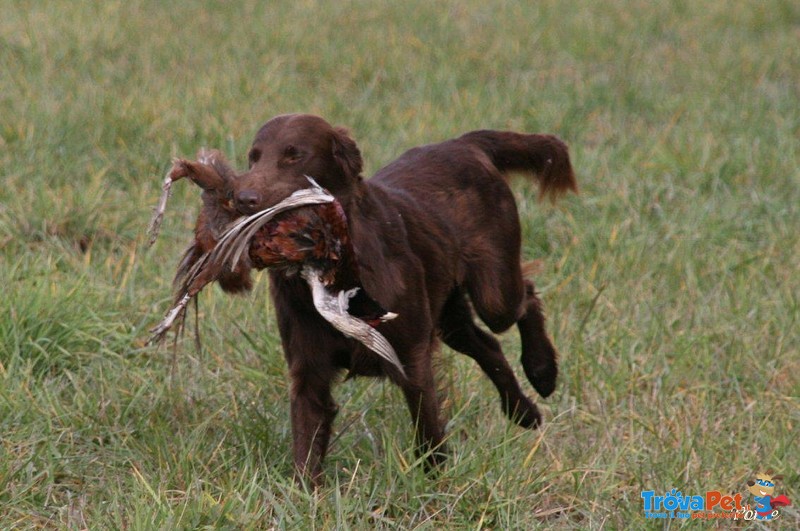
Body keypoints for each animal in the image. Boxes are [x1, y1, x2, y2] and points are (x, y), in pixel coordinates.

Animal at [225, 113, 576, 486]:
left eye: (294, 156)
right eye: (253, 158)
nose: (243, 198)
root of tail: (465, 143)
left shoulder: (412, 356)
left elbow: (428, 430)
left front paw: (435, 485)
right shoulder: (309, 370)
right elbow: (305, 446)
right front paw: (306, 493)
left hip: (493, 292)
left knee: (526, 297)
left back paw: (542, 371)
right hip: (449, 316)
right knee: (488, 345)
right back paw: (523, 412)